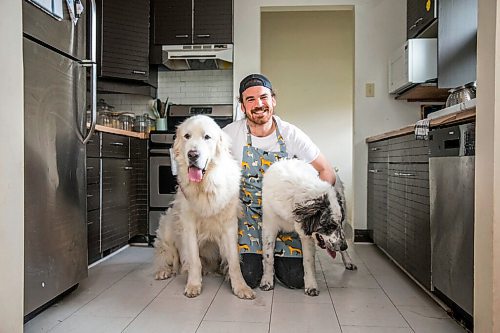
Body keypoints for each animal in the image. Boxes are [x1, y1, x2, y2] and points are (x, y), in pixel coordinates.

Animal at [154, 115, 256, 300]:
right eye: (187, 136)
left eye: (207, 137)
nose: (193, 154)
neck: (206, 185)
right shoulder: (188, 226)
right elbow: (194, 260)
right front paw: (193, 285)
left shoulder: (229, 225)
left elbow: (234, 261)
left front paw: (240, 287)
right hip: (168, 226)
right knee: (165, 253)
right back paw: (163, 270)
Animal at [258, 158, 356, 296]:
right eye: (330, 226)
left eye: (334, 224)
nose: (344, 246)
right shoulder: (269, 226)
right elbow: (268, 256)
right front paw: (267, 280)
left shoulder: (307, 236)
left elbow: (308, 262)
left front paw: (311, 285)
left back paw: (348, 261)